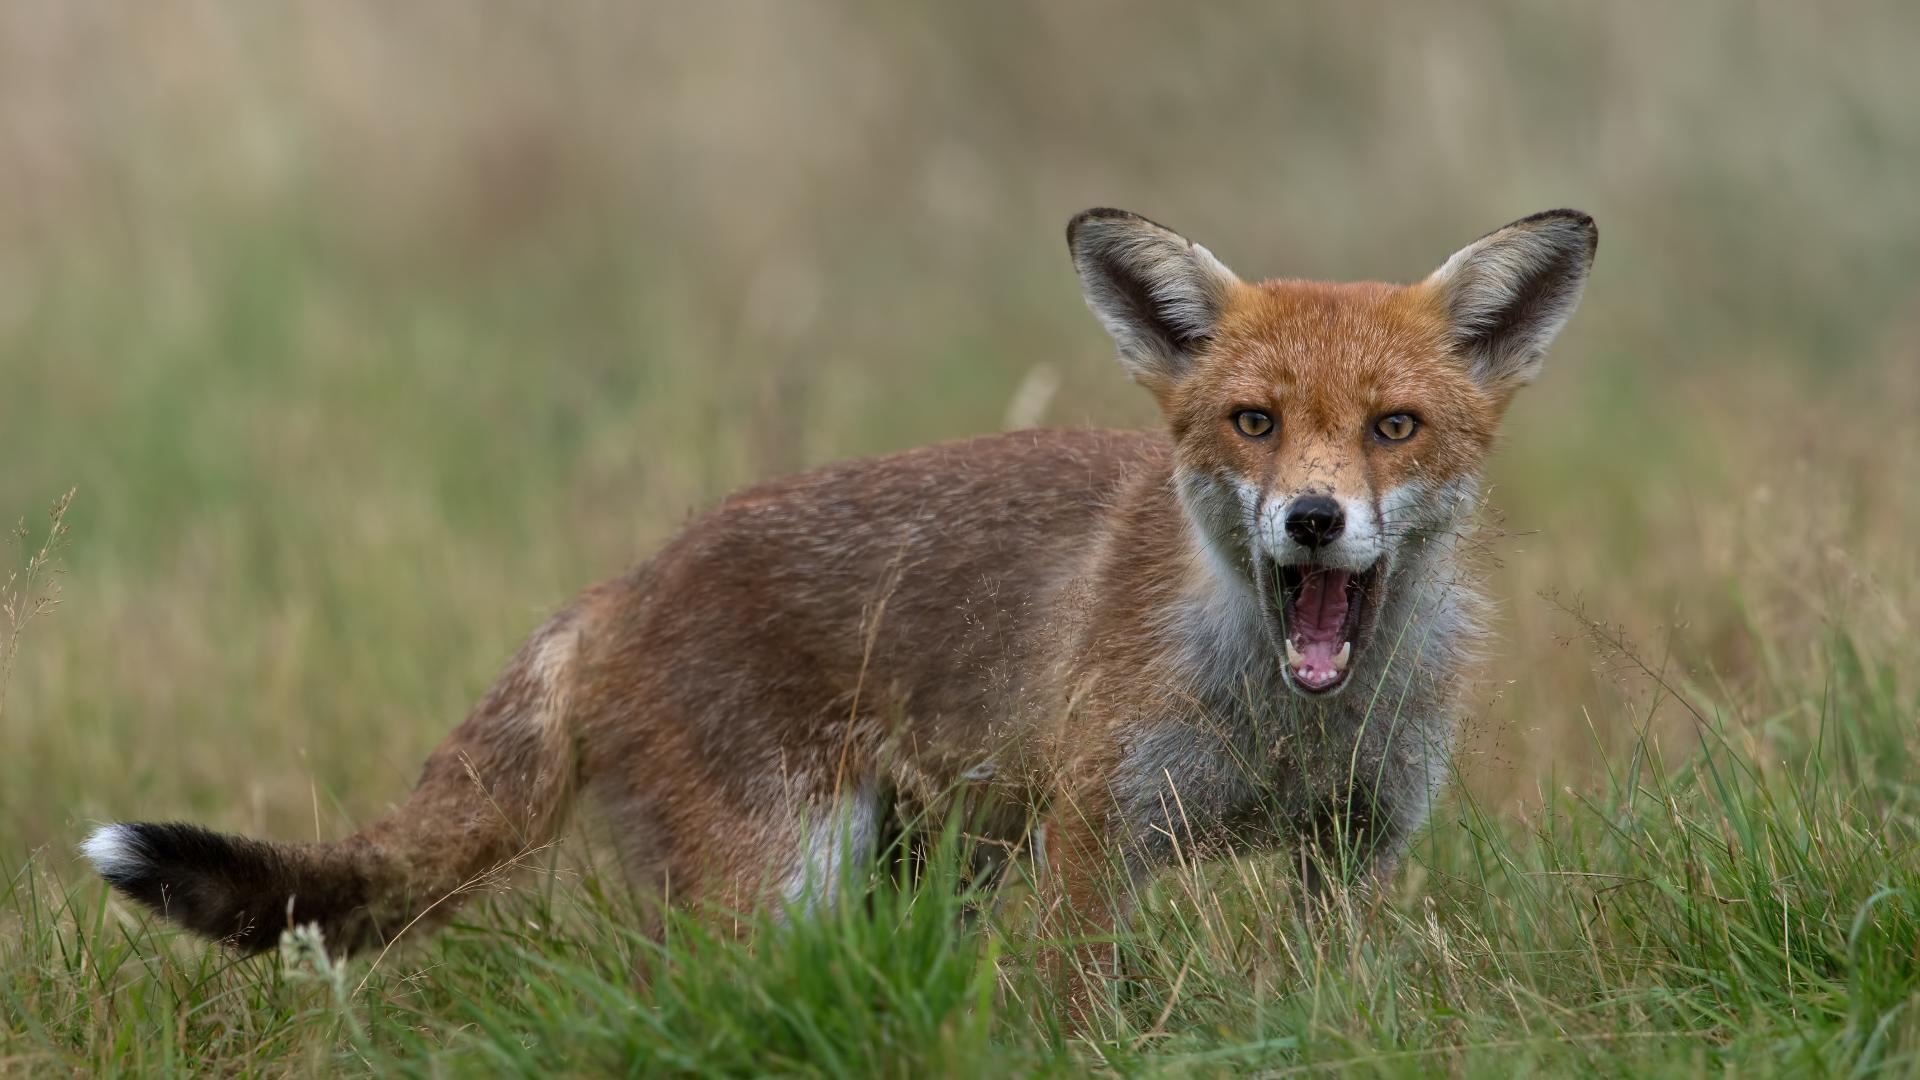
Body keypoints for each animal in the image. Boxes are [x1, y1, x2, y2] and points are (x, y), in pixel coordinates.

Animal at [86, 205, 1589, 960]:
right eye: (1254, 423)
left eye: (1394, 428)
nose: (1314, 523)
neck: (1283, 723)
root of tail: (617, 589)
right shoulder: (1097, 841)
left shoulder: (1353, 853)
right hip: (784, 889)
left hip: (922, 871)